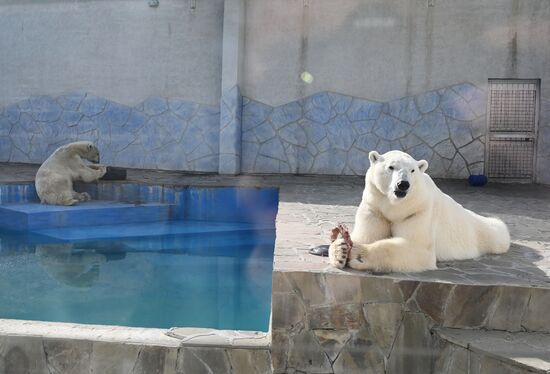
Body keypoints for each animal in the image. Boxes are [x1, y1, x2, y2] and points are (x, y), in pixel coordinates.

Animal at [330, 150, 512, 274]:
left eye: (412, 170)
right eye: (391, 167)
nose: (403, 184)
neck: (394, 205)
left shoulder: (418, 210)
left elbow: (418, 247)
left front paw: (360, 254)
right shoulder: (375, 208)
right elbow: (365, 235)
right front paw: (340, 250)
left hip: (484, 233)